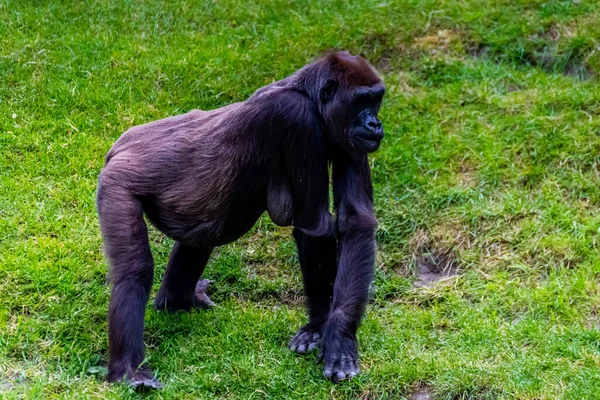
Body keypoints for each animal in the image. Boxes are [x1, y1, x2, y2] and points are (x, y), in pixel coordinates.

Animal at [94, 50, 384, 388]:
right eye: (360, 101)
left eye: (376, 99)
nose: (375, 123)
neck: (308, 95)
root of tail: (117, 148)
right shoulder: (295, 118)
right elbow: (314, 227)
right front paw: (318, 326)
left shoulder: (350, 139)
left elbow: (356, 221)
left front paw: (340, 335)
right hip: (117, 183)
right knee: (134, 271)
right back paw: (128, 369)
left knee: (203, 233)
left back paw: (177, 300)